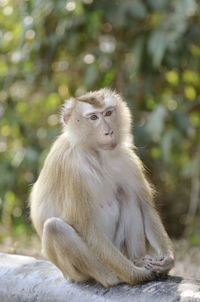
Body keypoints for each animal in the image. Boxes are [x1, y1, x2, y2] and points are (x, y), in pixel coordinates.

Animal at [29, 88, 173, 286]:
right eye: (93, 117)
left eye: (108, 113)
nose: (108, 132)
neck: (97, 154)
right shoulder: (72, 169)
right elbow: (88, 229)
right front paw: (137, 276)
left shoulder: (127, 160)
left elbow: (145, 207)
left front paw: (167, 260)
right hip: (79, 272)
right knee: (54, 228)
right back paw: (117, 277)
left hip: (119, 248)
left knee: (129, 196)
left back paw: (137, 259)